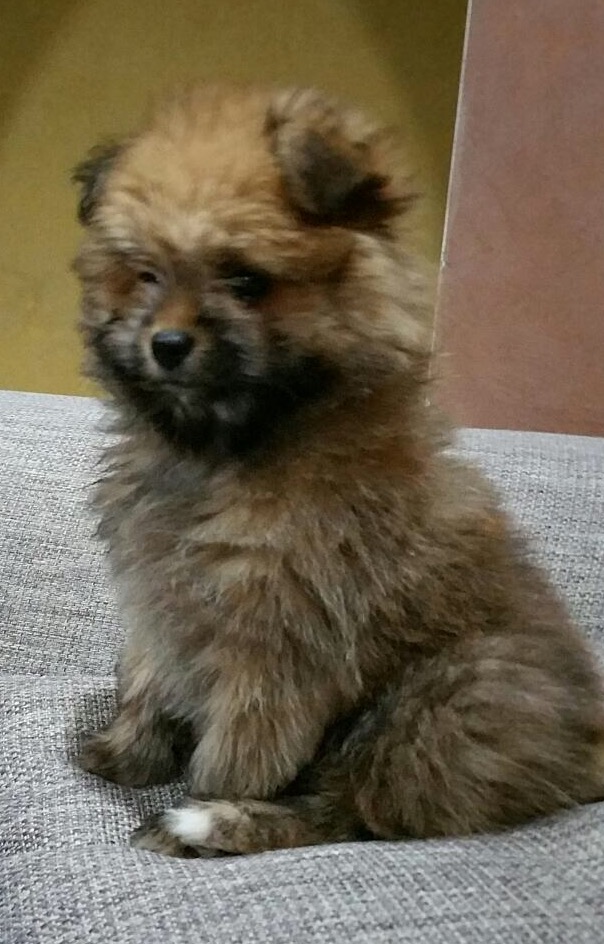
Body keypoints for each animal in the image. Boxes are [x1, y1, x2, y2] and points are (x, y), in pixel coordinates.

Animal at [73, 84, 604, 857]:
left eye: (246, 281)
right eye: (144, 275)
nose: (166, 343)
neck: (235, 446)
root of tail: (586, 751)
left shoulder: (278, 634)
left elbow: (241, 747)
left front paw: (206, 801)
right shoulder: (156, 599)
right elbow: (147, 676)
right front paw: (128, 752)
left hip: (451, 697)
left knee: (354, 805)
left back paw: (213, 824)